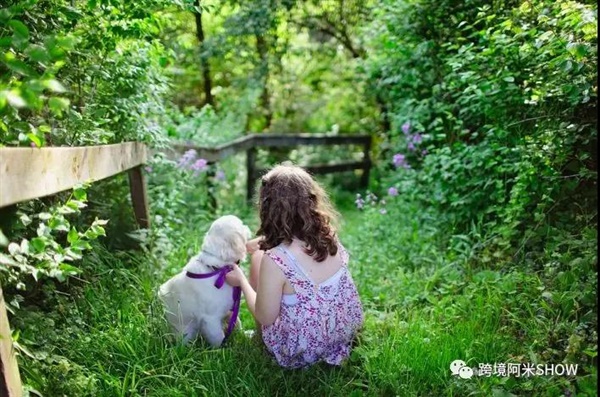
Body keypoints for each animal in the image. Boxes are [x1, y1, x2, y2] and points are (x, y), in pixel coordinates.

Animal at [157, 213, 251, 346]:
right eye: (241, 225)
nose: (247, 226)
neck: (217, 269)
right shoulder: (210, 318)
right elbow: (218, 337)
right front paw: (222, 349)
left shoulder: (230, 309)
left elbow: (237, 322)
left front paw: (245, 335)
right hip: (185, 332)